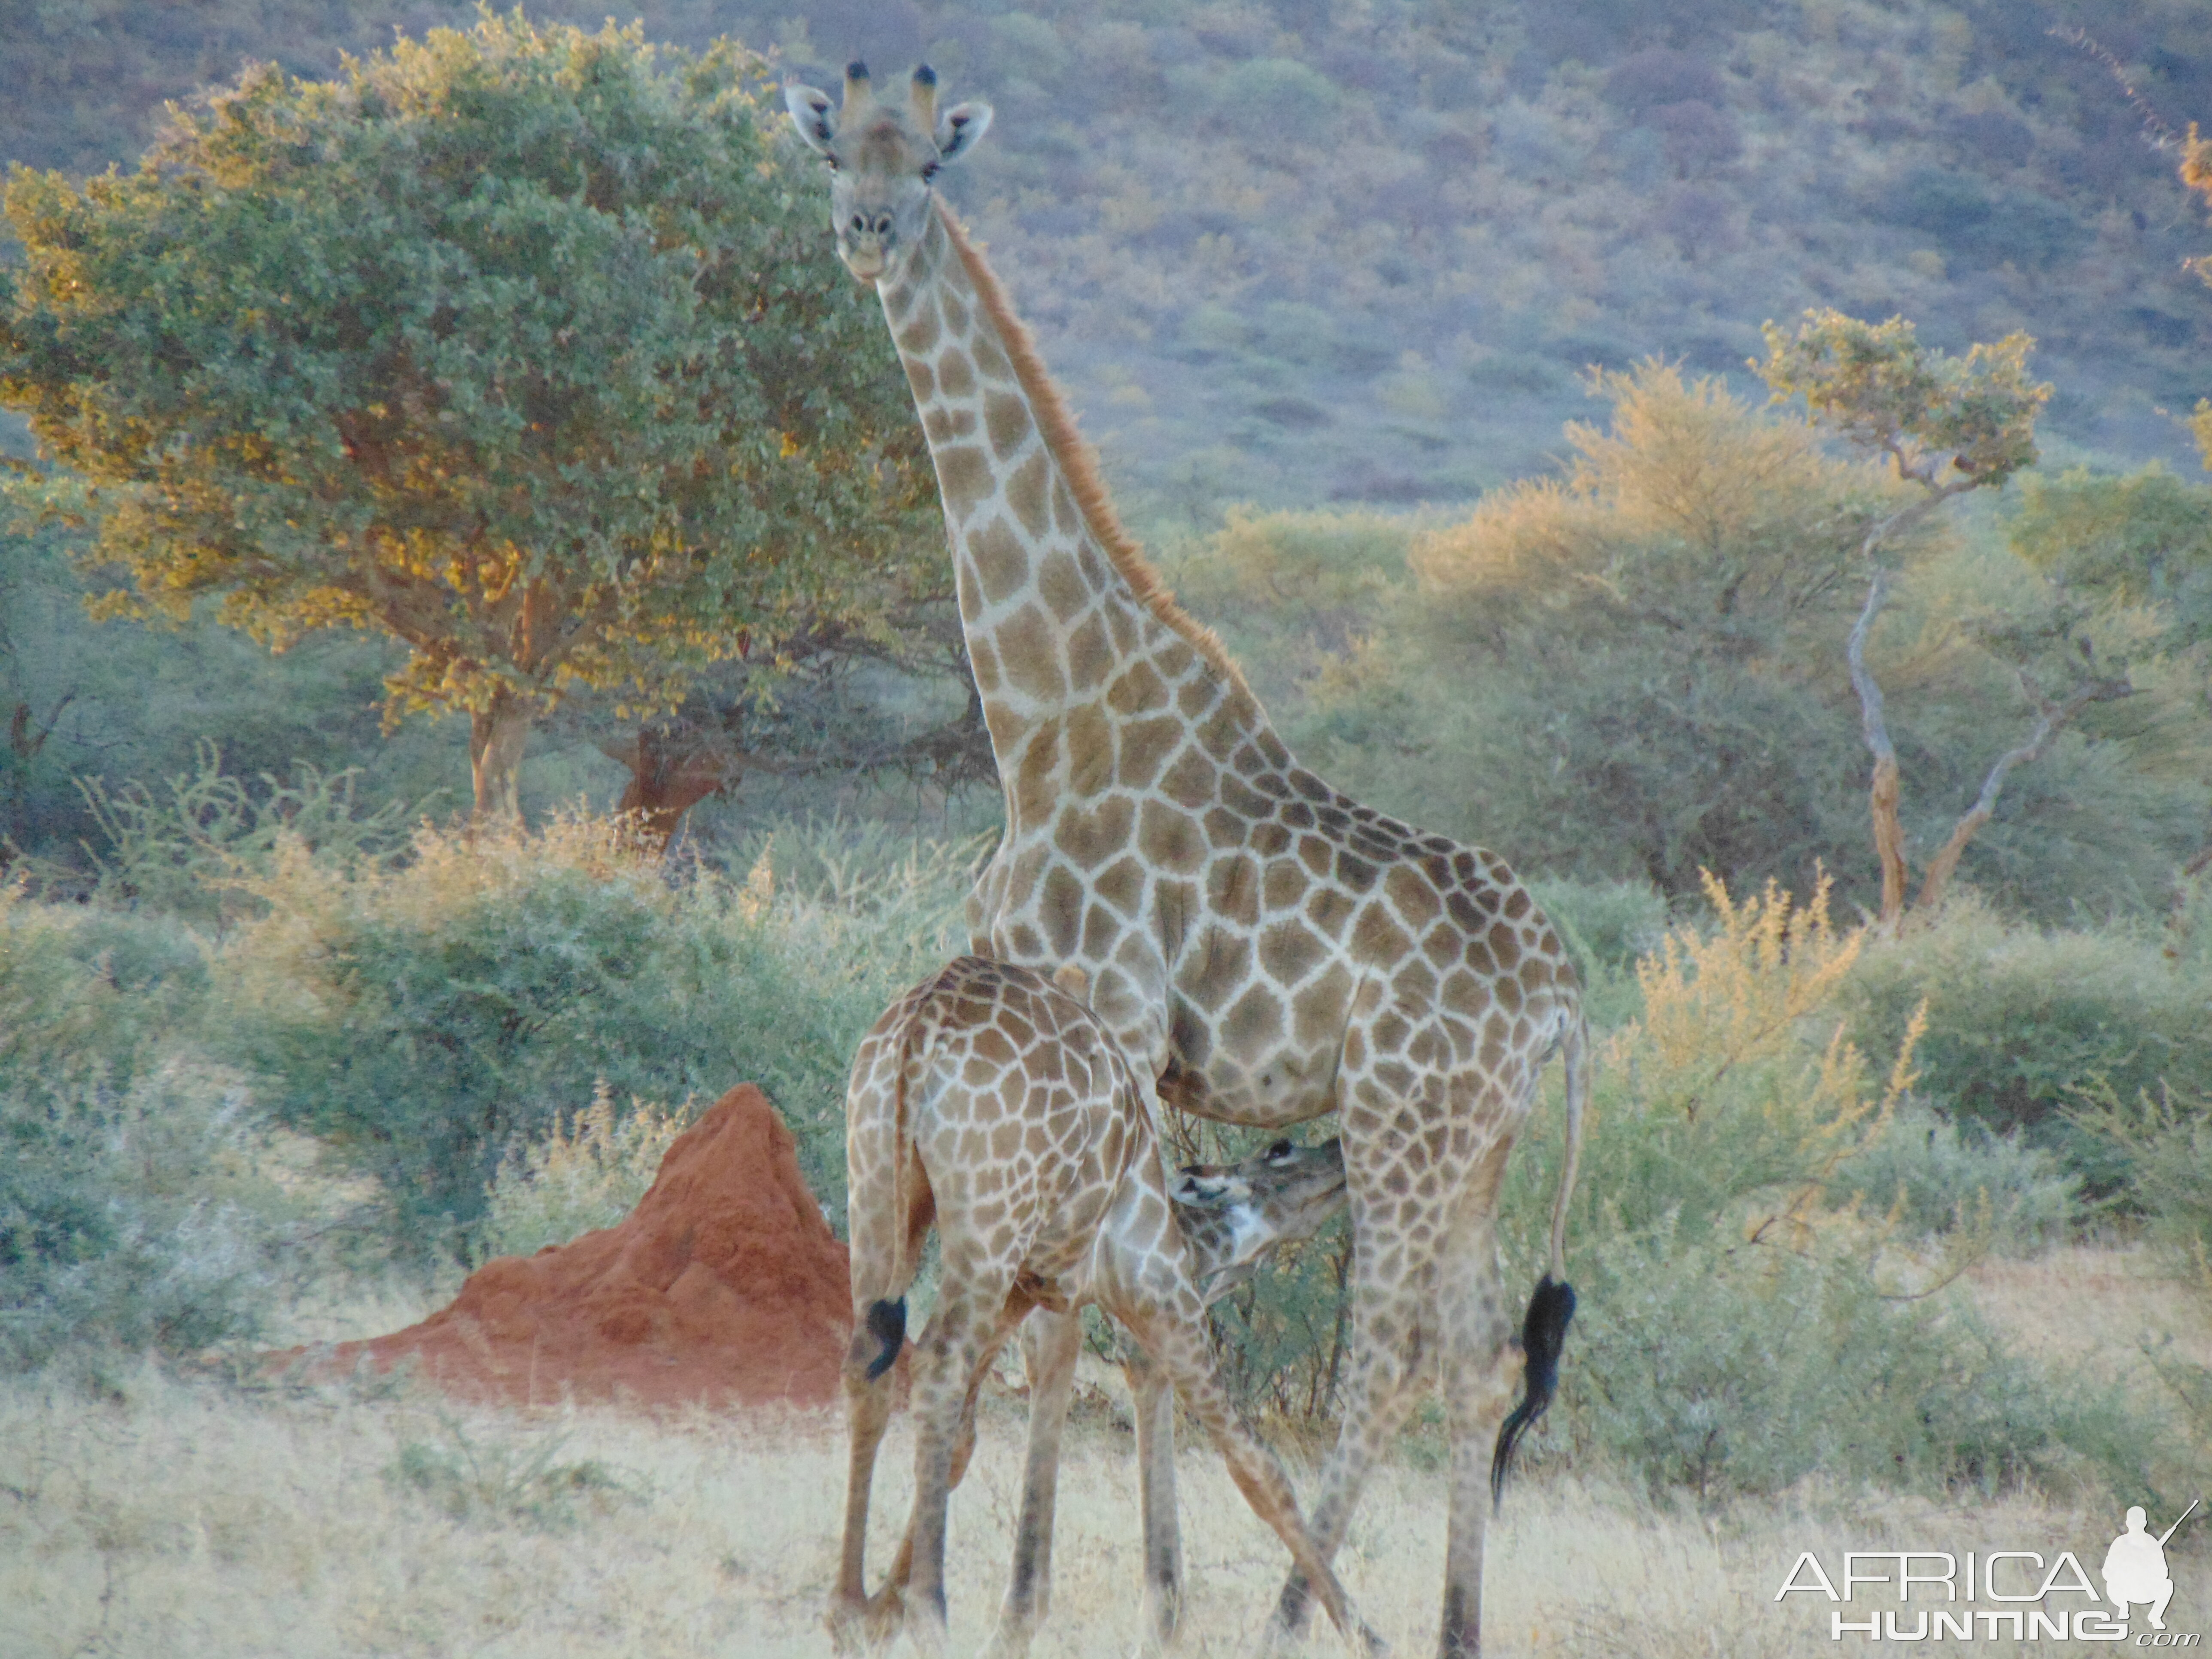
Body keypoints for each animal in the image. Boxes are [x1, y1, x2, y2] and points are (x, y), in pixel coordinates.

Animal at [836, 960, 1371, 1659]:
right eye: (1280, 1150)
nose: (1341, 1152)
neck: (1186, 1236)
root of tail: (919, 1031)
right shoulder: (1162, 1292)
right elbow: (1258, 1467)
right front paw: (1366, 1633)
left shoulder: (1028, 1287)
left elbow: (969, 1435)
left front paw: (885, 1608)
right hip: (986, 1225)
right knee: (935, 1366)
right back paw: (932, 1611)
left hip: (879, 1191)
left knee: (867, 1362)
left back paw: (846, 1607)